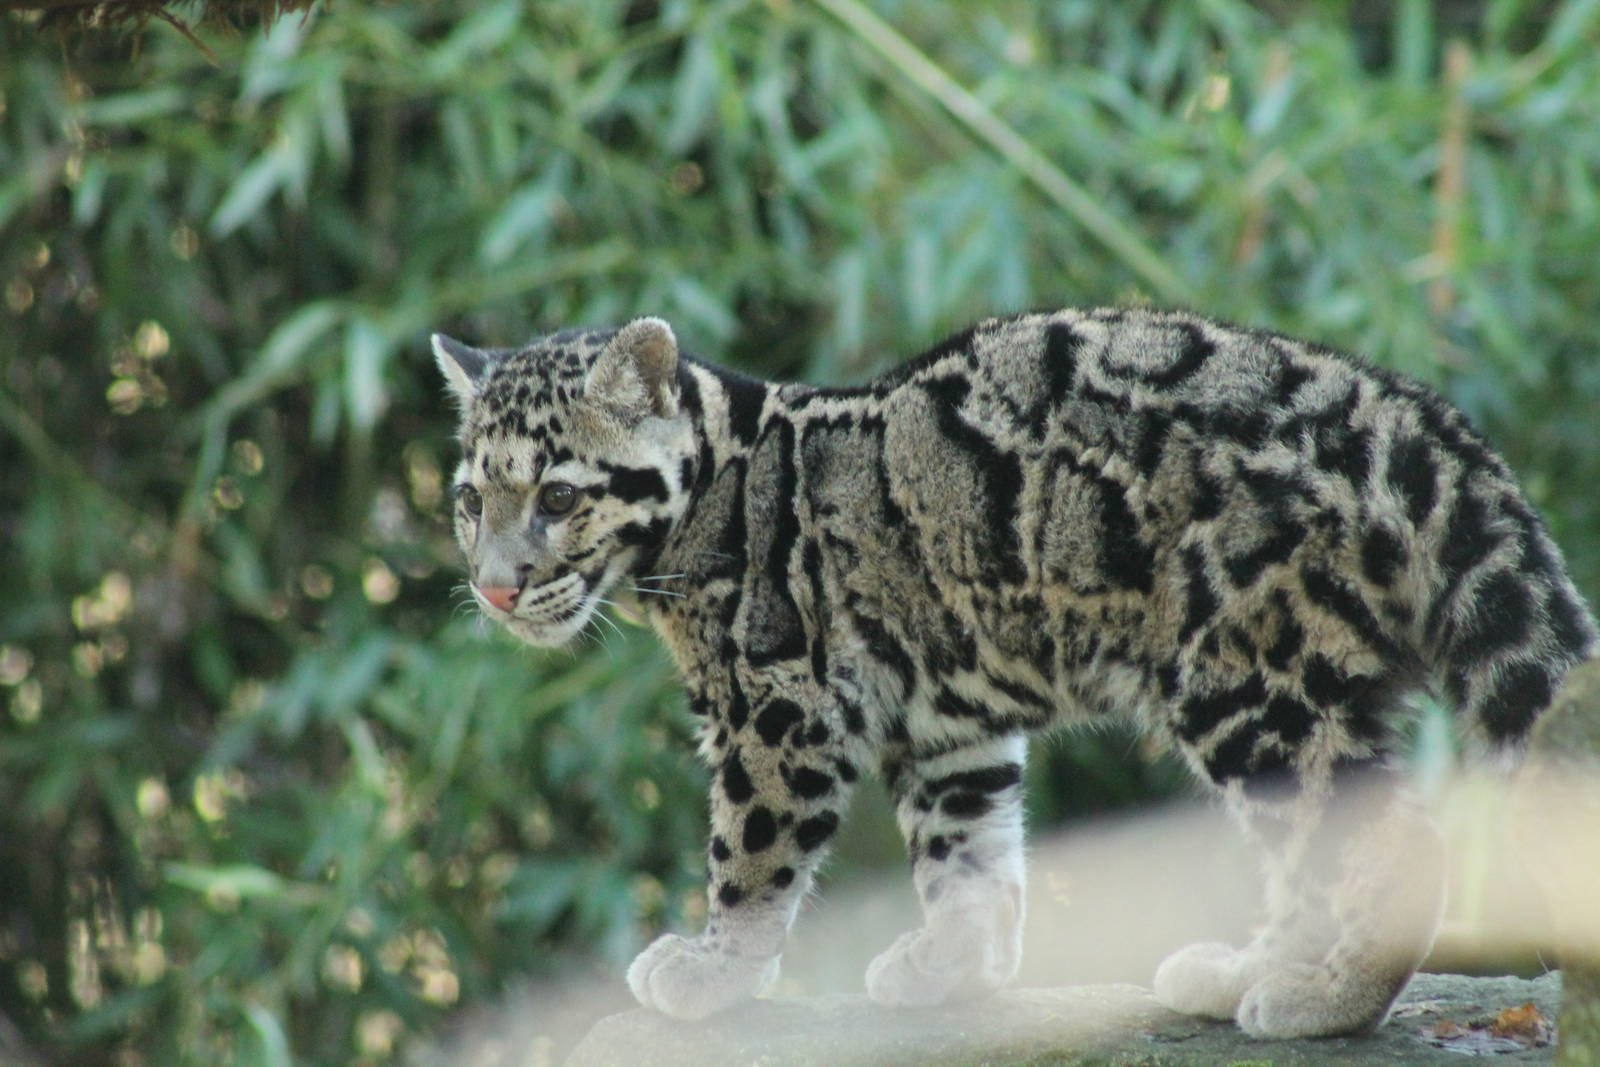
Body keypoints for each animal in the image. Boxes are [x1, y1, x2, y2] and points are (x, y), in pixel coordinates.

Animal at [431, 308, 1596, 1039]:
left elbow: (751, 849)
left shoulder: (777, 707)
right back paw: (1247, 968)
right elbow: (965, 845)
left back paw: (1320, 995)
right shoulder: (947, 718)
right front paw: (956, 964)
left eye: (559, 496)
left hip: (1248, 679)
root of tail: (1397, 413)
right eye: (468, 499)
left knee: (1387, 835)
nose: (494, 589)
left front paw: (714, 967)